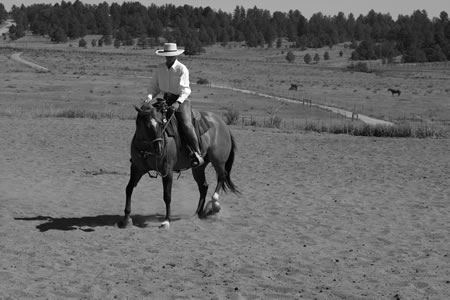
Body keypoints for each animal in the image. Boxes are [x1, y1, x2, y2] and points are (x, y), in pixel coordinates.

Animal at [118, 99, 239, 229]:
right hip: (198, 168)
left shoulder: (167, 171)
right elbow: (129, 188)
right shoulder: (136, 168)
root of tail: (222, 124)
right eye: (146, 125)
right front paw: (126, 219)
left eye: (161, 124)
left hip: (218, 161)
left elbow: (167, 196)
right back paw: (198, 213)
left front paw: (166, 221)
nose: (159, 148)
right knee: (203, 186)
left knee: (222, 176)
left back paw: (215, 205)